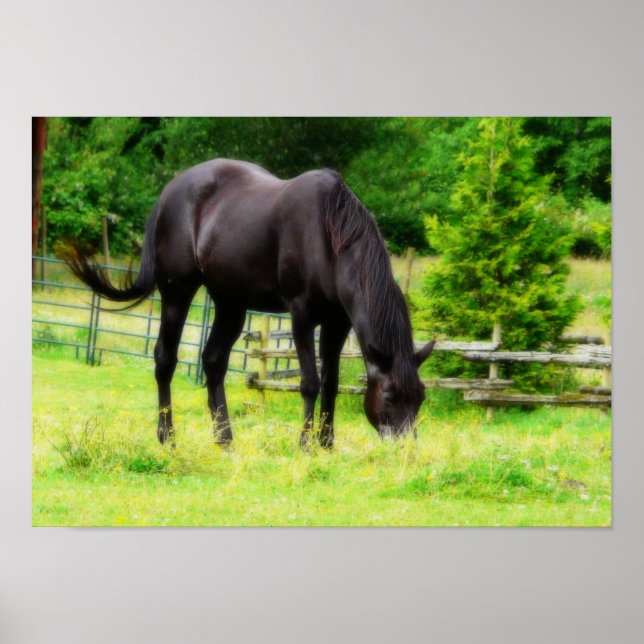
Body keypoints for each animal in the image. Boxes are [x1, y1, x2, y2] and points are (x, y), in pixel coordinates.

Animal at [66, 159, 435, 448]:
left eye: (420, 396)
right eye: (389, 397)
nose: (407, 449)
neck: (331, 235)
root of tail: (171, 189)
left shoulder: (337, 322)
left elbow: (331, 384)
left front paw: (327, 443)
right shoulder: (301, 315)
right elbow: (310, 382)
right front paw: (305, 444)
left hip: (230, 304)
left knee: (213, 361)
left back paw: (224, 438)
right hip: (177, 293)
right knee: (165, 360)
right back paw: (167, 436)